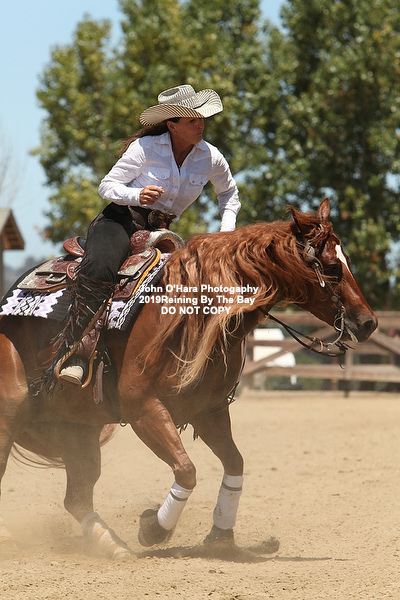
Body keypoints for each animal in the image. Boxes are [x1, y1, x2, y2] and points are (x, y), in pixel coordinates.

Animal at [0, 198, 377, 559]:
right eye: (332, 267)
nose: (368, 322)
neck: (189, 311)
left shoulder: (208, 411)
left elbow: (234, 464)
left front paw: (221, 537)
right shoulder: (143, 409)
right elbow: (186, 469)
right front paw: (154, 528)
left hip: (78, 427)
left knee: (77, 497)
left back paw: (115, 547)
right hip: (13, 410)